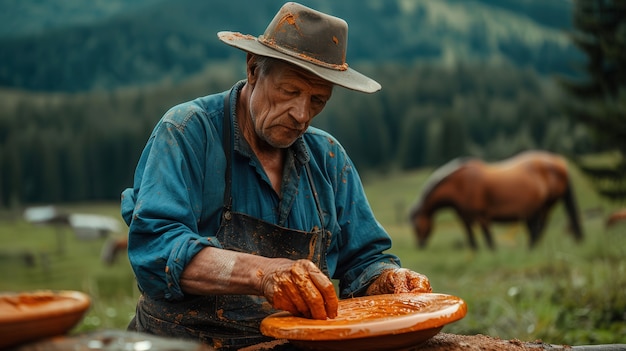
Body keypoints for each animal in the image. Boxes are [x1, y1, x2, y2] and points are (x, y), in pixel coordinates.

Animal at [408, 151, 584, 250]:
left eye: (417, 226)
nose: (420, 245)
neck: (461, 184)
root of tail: (559, 161)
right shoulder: (465, 216)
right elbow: (470, 235)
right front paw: (475, 250)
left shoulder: (481, 215)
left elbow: (487, 236)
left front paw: (492, 250)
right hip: (534, 210)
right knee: (535, 228)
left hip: (545, 206)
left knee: (540, 228)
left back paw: (531, 247)